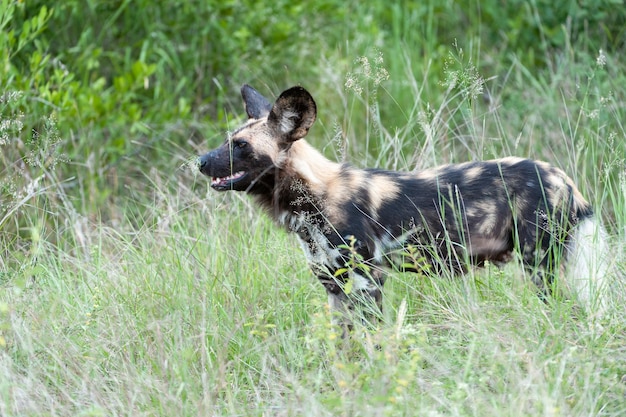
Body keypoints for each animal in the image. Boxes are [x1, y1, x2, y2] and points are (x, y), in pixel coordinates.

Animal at [197, 84, 608, 332]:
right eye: (227, 141)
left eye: (241, 146)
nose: (199, 162)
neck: (314, 197)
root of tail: (563, 178)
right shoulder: (333, 285)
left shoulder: (368, 280)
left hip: (540, 265)